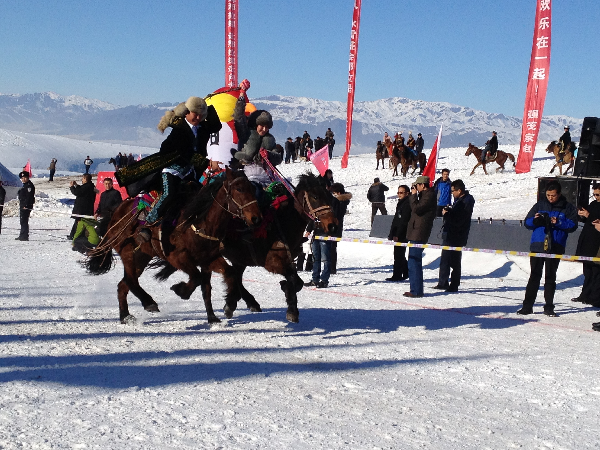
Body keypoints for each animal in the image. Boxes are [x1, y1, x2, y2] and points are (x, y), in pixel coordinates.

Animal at [85, 168, 262, 324]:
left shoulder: (209, 259)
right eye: (239, 189)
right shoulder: (177, 258)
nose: (256, 218)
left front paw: (222, 310)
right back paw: (148, 302)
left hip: (142, 256)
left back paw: (125, 316)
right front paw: (181, 291)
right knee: (131, 281)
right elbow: (197, 278)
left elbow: (221, 279)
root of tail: (116, 214)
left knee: (123, 284)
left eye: (253, 189)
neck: (199, 222)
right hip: (128, 252)